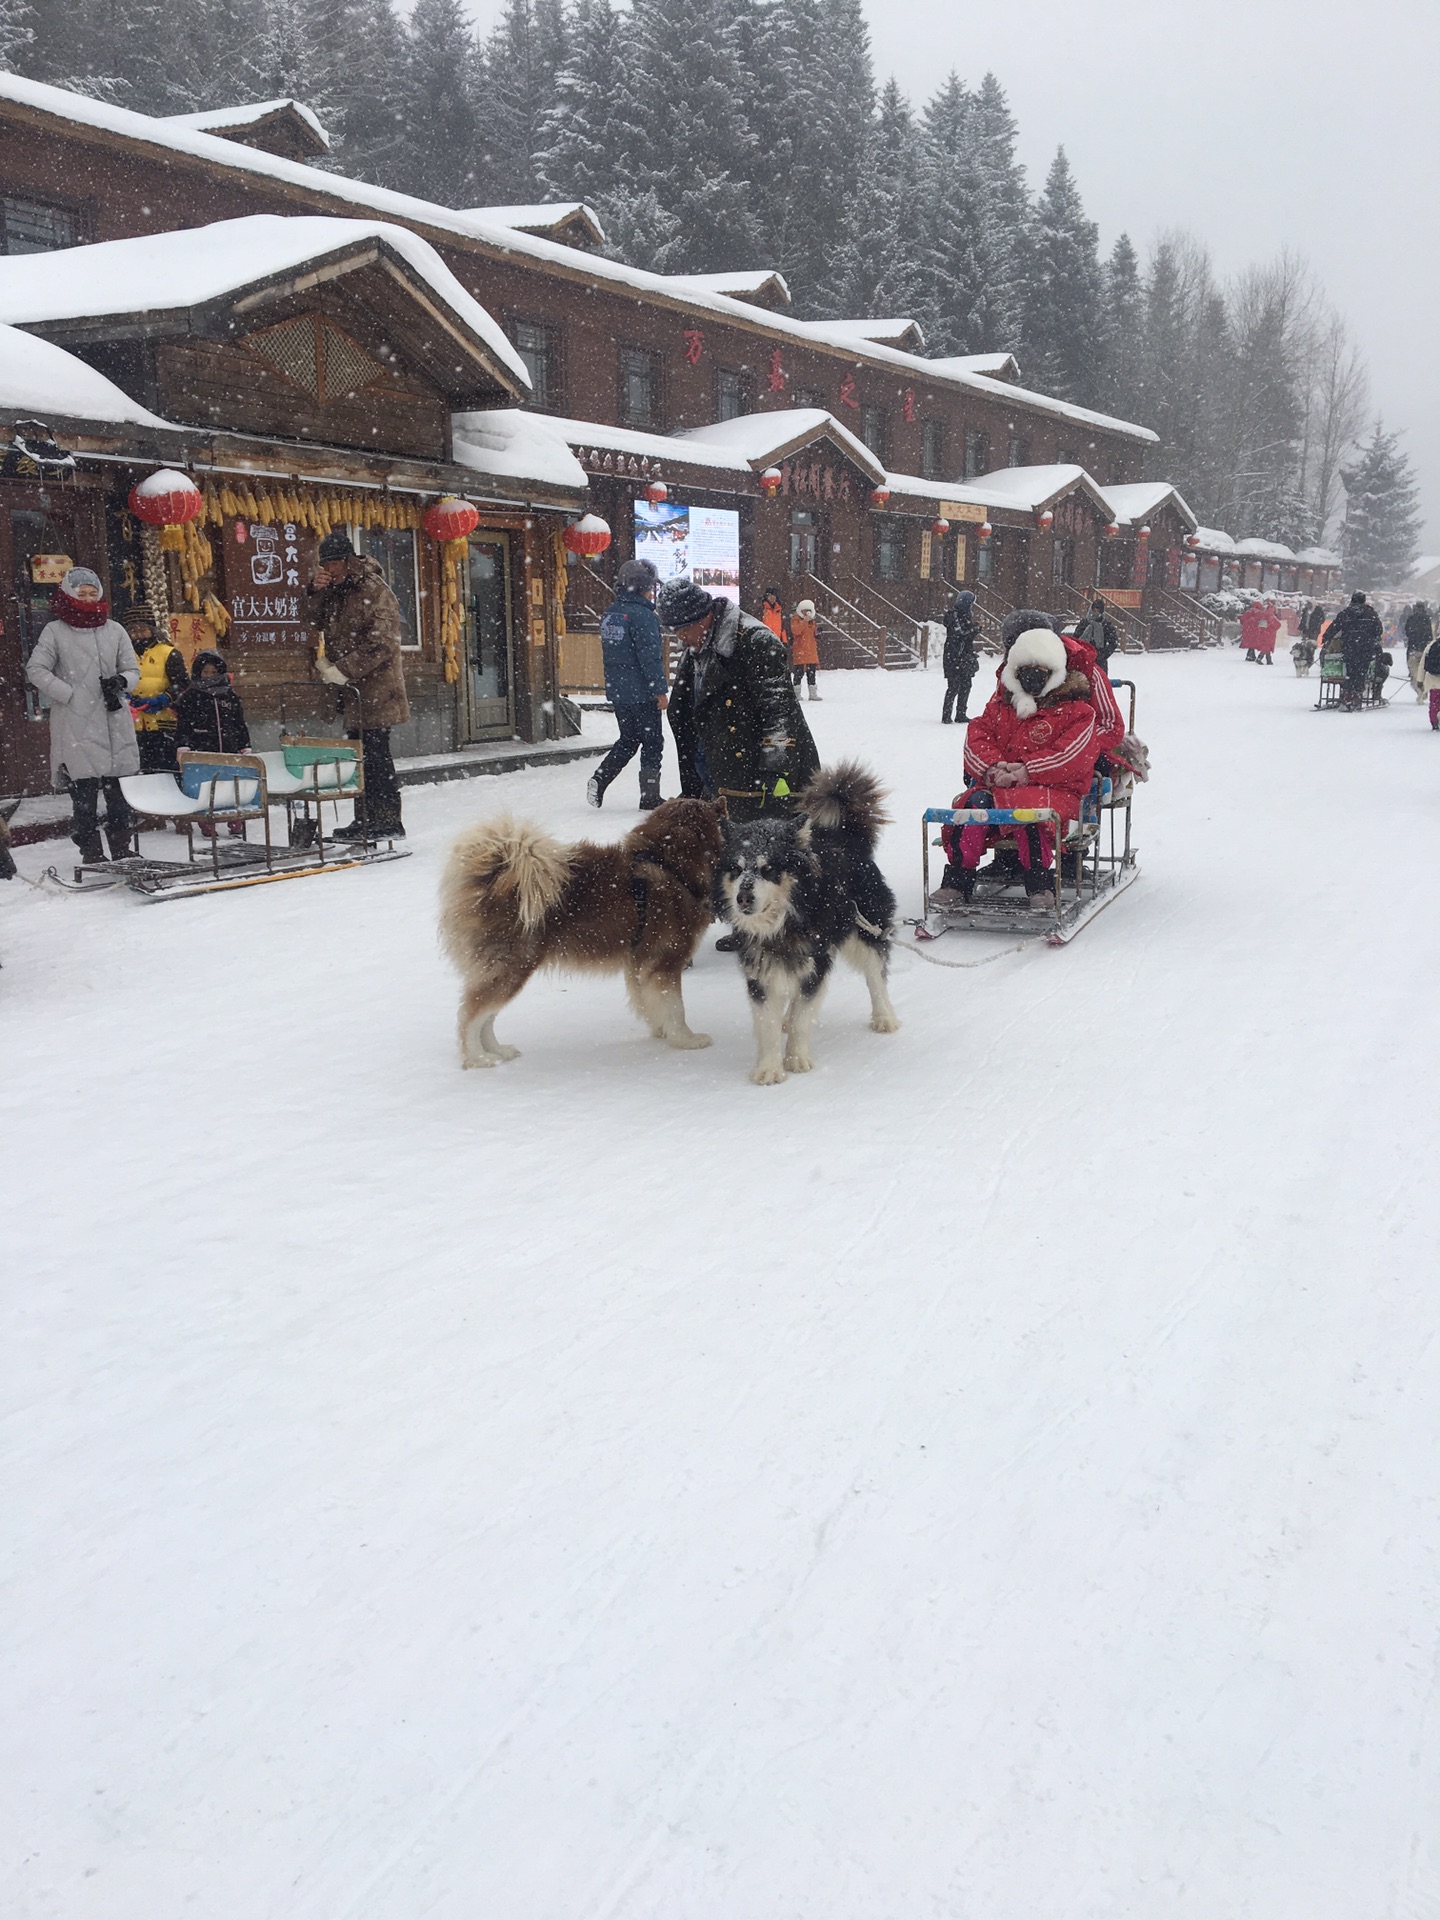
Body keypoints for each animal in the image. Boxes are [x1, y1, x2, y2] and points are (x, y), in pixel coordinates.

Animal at [437, 794, 721, 1067]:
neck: (668, 864)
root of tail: (492, 876)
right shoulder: (665, 961)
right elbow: (676, 1007)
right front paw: (686, 1039)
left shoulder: (638, 965)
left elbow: (650, 1003)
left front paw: (662, 1031)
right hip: (512, 967)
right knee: (471, 1015)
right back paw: (479, 1058)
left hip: (507, 970)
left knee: (486, 1016)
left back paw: (497, 1051)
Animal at [718, 764, 906, 1098]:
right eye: (737, 869)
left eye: (768, 869)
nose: (743, 898)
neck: (783, 922)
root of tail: (846, 838)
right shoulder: (760, 969)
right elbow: (767, 1022)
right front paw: (769, 1067)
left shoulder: (816, 961)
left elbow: (804, 1015)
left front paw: (795, 1057)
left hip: (866, 932)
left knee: (876, 976)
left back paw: (884, 1017)